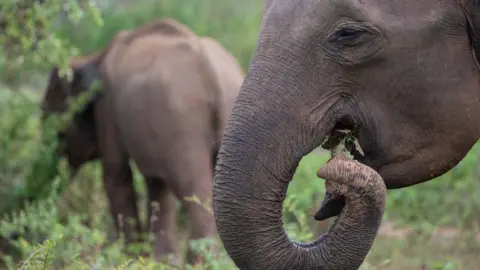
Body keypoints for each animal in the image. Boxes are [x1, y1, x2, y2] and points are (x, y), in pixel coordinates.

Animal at [39, 18, 246, 264]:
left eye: (52, 122)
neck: (93, 57)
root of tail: (214, 76)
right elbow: (157, 185)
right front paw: (161, 260)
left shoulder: (108, 109)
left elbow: (116, 175)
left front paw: (131, 258)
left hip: (183, 124)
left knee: (196, 193)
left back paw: (199, 263)